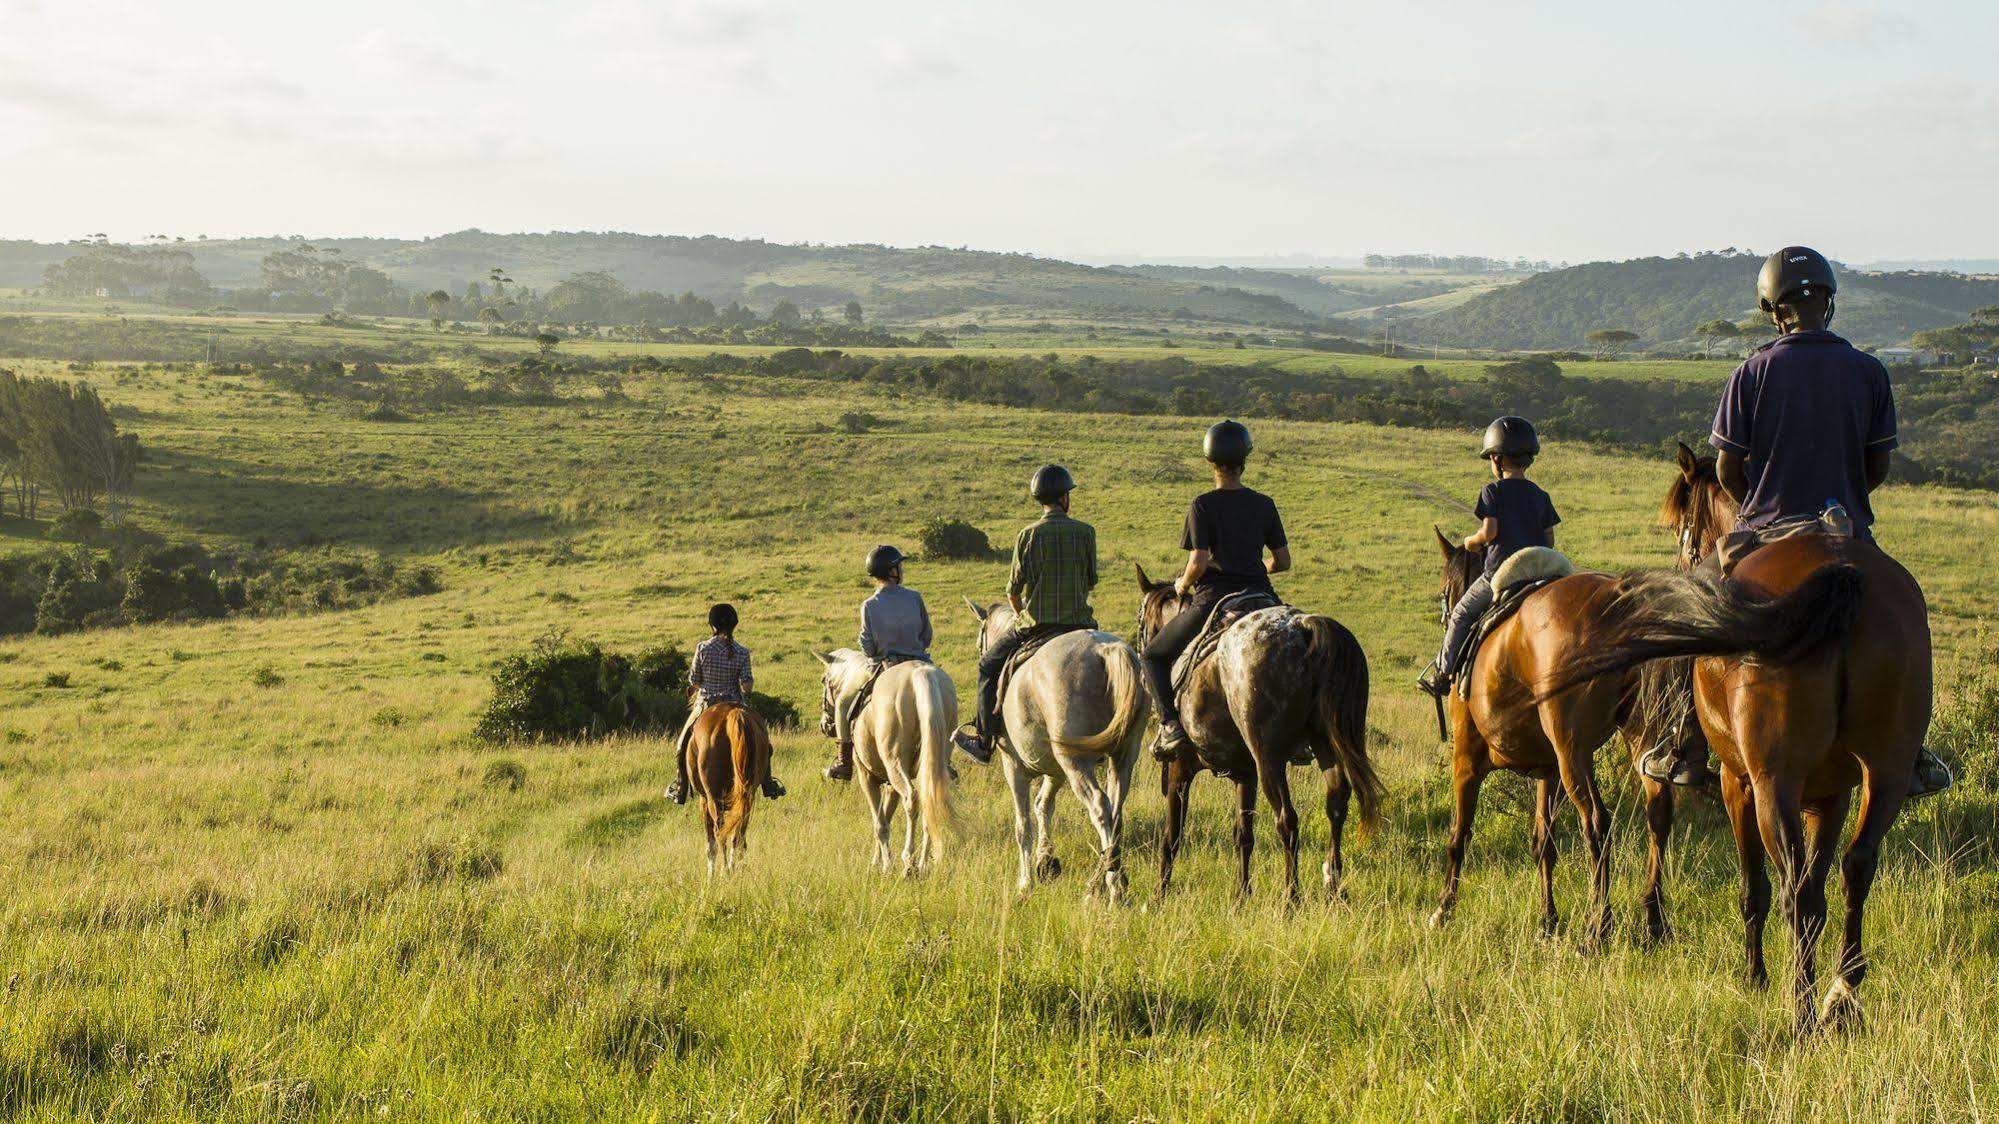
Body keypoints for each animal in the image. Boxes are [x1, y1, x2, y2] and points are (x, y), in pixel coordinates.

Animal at [691, 700, 775, 876]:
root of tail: (733, 713)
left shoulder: (704, 801)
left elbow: (710, 844)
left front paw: (710, 876)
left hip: (713, 799)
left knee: (720, 834)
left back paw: (725, 871)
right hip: (748, 797)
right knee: (739, 835)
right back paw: (735, 868)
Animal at [815, 648, 963, 876]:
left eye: (824, 680)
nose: (825, 725)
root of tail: (920, 674)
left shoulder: (867, 777)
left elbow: (880, 822)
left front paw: (885, 865)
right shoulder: (891, 785)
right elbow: (886, 816)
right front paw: (878, 860)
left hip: (894, 764)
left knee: (912, 799)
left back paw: (908, 862)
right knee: (929, 802)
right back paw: (923, 863)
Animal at [1135, 560, 1383, 900]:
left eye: (1140, 621)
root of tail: (1305, 628)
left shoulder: (1179, 769)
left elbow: (1172, 836)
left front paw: (1160, 895)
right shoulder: (1245, 773)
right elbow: (1243, 835)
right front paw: (1241, 896)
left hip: (1269, 758)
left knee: (1287, 820)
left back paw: (1292, 899)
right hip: (1324, 743)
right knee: (1336, 803)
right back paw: (1333, 885)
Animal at [1423, 528, 1687, 940]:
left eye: (1444, 590)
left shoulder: (1465, 758)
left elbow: (1459, 835)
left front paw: (1443, 909)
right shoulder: (1547, 771)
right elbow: (1543, 843)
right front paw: (1547, 920)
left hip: (1573, 753)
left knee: (1596, 823)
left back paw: (1598, 926)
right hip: (1637, 738)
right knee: (1657, 814)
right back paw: (1653, 918)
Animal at [1535, 440, 1927, 1032]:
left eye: (1683, 526)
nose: (1684, 561)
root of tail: (1843, 575)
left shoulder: (1736, 782)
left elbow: (1753, 887)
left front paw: (1754, 975)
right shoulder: (1830, 796)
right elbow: (1823, 876)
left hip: (1770, 782)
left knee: (1794, 890)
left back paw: (1801, 1008)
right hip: (1887, 772)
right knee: (1854, 869)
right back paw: (1842, 994)